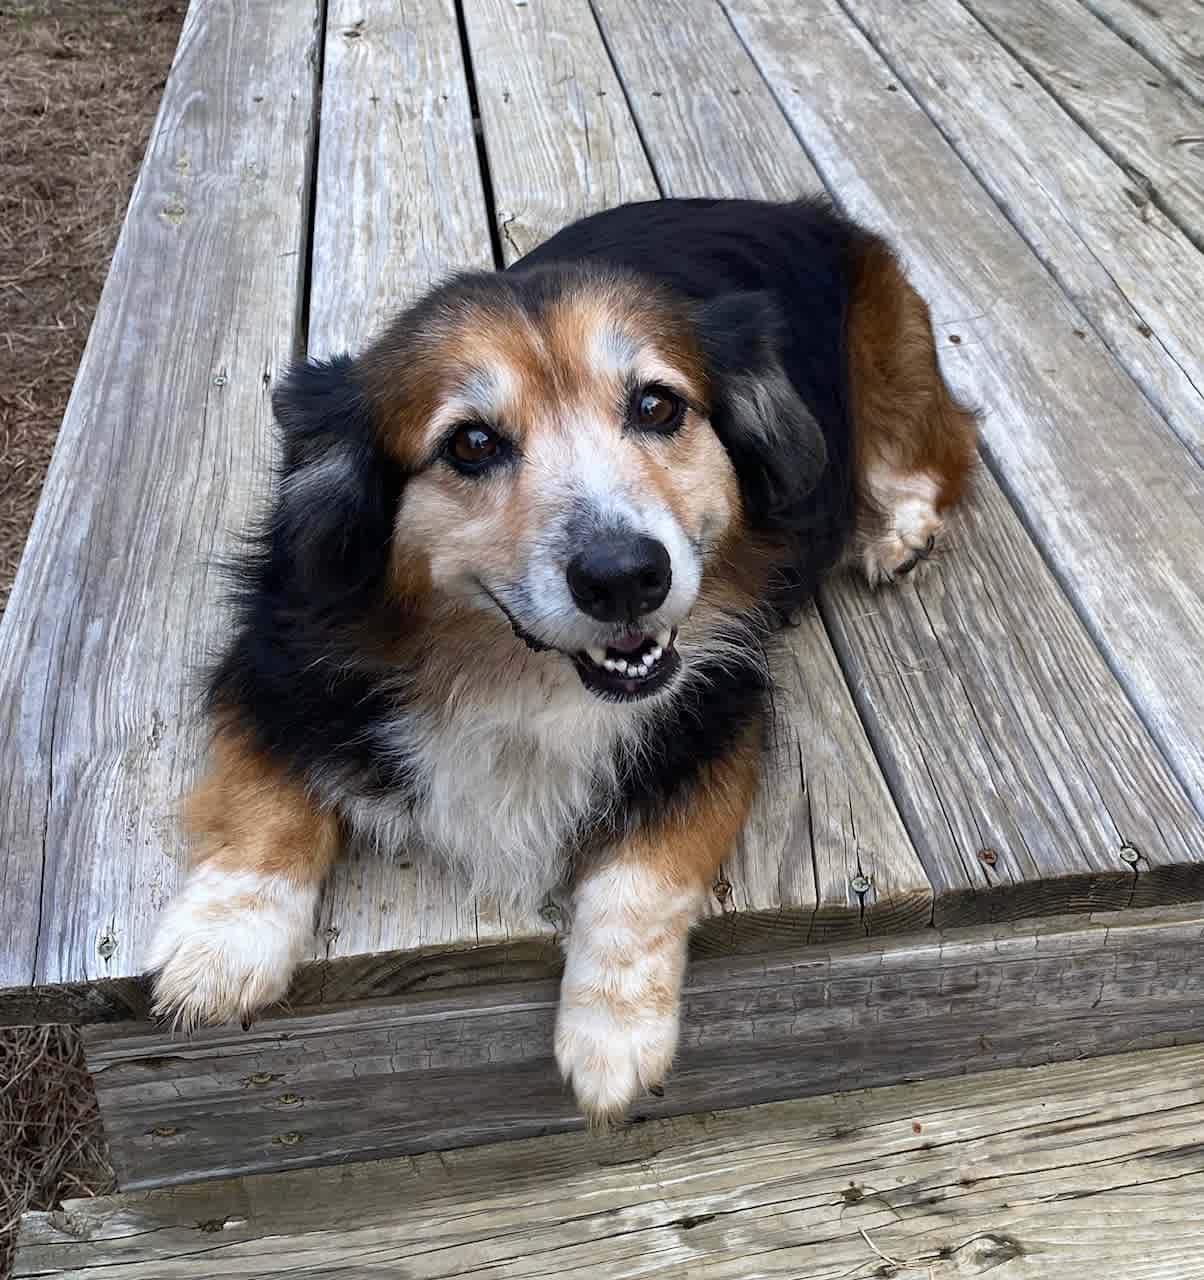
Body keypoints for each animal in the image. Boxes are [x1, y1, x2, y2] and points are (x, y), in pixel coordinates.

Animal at [150, 197, 977, 1121]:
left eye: (657, 406)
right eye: (471, 444)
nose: (627, 579)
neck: (511, 672)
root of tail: (800, 210)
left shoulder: (717, 711)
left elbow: (642, 880)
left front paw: (611, 1033)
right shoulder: (272, 663)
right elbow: (264, 800)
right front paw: (223, 945)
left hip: (888, 359)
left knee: (934, 451)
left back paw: (900, 530)